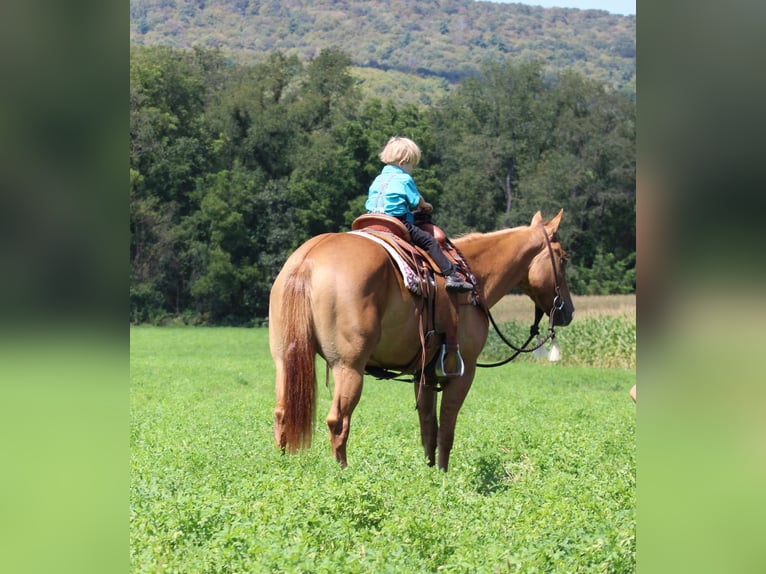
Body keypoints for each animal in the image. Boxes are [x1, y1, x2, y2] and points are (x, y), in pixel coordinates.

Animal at [270, 209, 576, 470]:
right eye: (563, 258)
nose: (568, 311)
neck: (475, 276)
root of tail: (308, 260)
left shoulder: (424, 373)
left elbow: (428, 427)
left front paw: (429, 474)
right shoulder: (464, 372)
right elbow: (447, 429)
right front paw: (442, 475)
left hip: (284, 360)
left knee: (283, 413)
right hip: (349, 367)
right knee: (338, 421)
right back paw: (342, 472)